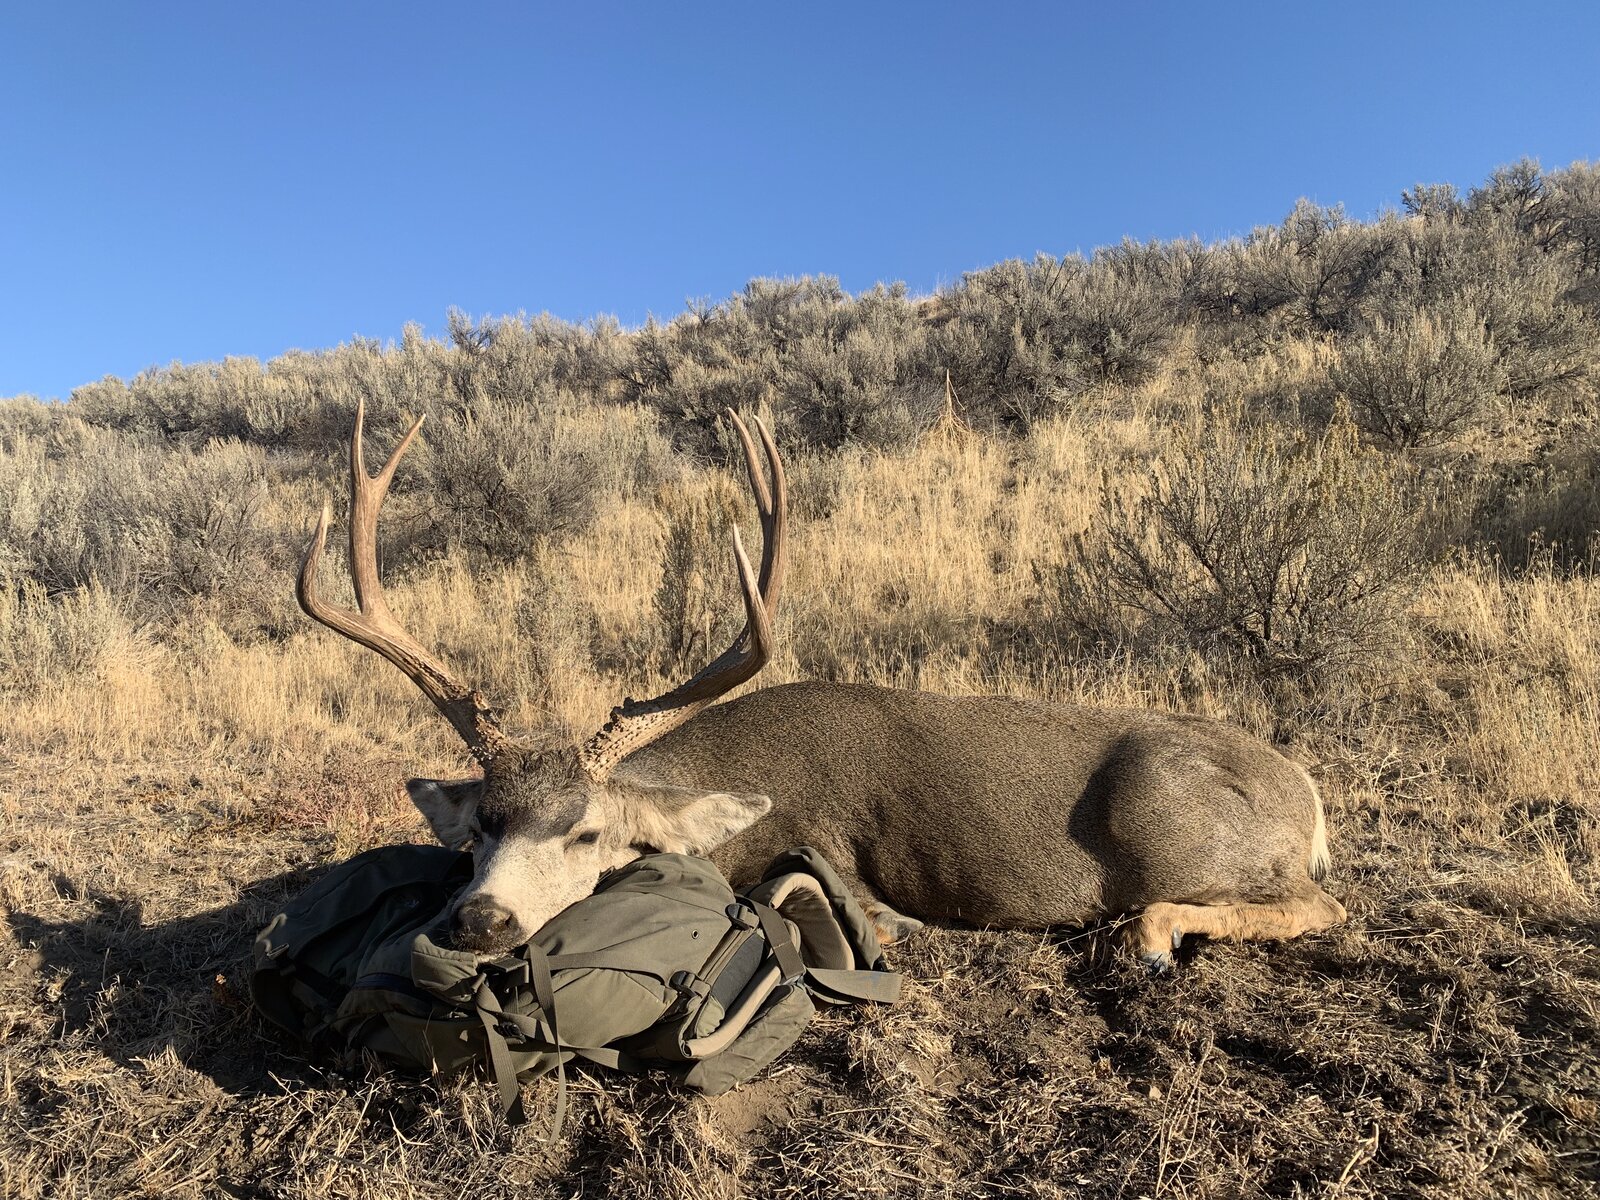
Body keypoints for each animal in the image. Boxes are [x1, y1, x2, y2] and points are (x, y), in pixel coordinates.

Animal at [297, 402, 1346, 972]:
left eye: (589, 833)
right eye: (480, 826)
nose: (481, 919)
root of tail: (1308, 795)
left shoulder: (830, 866)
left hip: (1169, 826)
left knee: (1317, 904)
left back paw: (1155, 935)